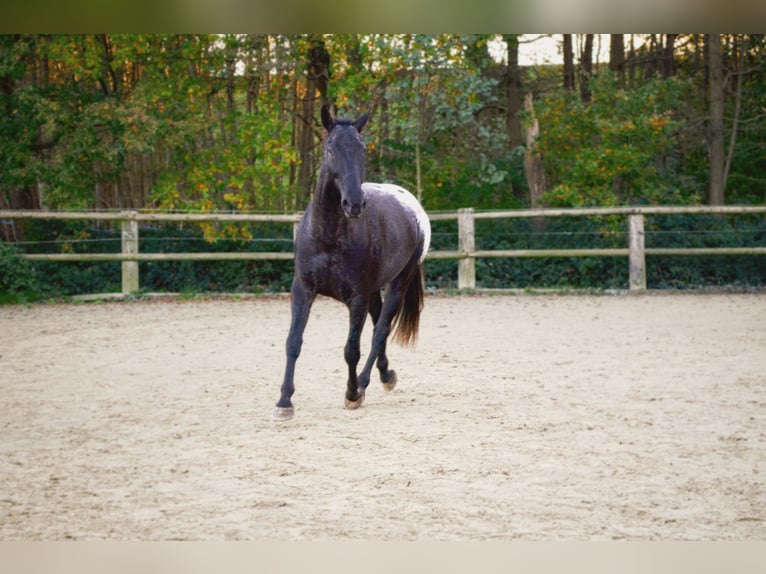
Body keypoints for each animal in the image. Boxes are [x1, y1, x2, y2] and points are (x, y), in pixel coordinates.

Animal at [276, 106, 432, 424]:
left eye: (362, 149)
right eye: (330, 148)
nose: (355, 204)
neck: (329, 236)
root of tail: (413, 206)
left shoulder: (356, 298)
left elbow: (351, 350)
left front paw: (351, 394)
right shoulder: (303, 290)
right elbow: (293, 342)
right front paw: (285, 400)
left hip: (398, 284)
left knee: (380, 330)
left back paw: (363, 383)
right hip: (374, 291)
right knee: (377, 326)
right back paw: (385, 375)